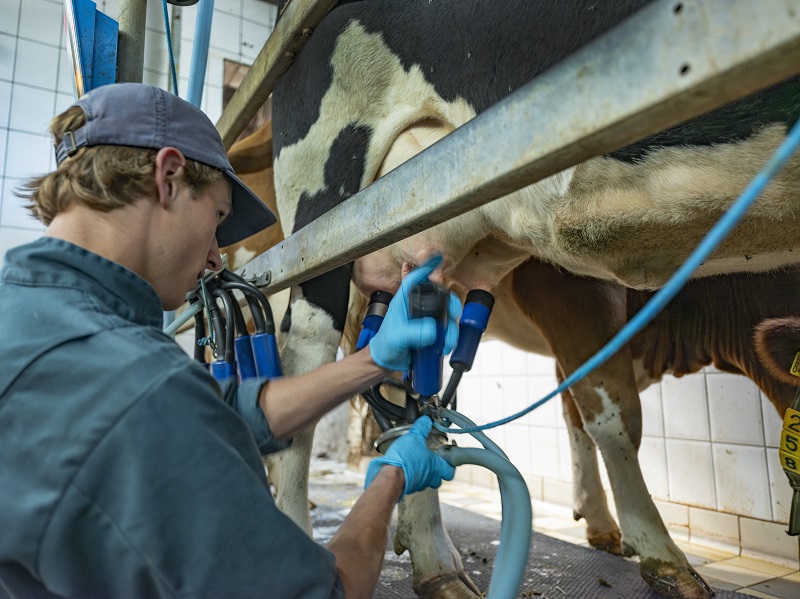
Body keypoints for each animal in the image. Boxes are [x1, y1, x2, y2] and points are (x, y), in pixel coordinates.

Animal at [260, 1, 800, 599]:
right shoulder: (576, 292)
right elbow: (612, 415)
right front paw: (661, 553)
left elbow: (575, 410)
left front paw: (604, 525)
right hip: (324, 209)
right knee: (305, 361)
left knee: (398, 379)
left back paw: (435, 560)